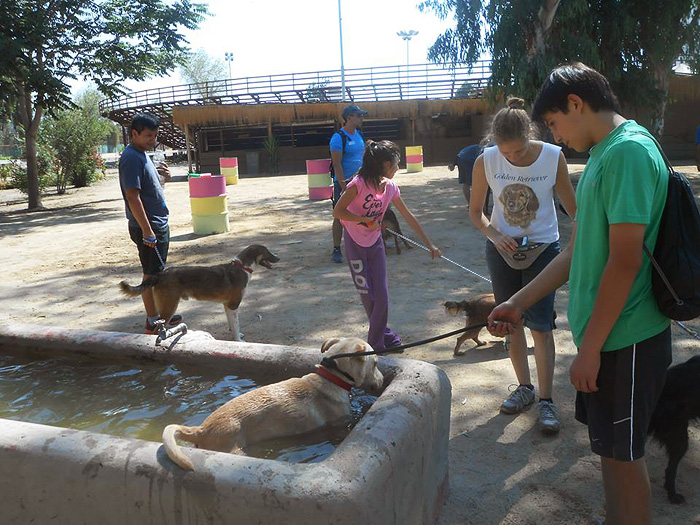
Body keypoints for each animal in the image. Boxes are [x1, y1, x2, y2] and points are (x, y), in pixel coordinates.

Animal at [118, 243, 278, 340]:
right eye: (267, 252)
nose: (279, 257)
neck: (242, 267)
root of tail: (160, 274)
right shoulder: (233, 305)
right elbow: (236, 325)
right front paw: (238, 341)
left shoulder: (227, 306)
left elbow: (232, 325)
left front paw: (234, 334)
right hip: (169, 307)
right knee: (157, 329)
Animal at [162, 338, 386, 468]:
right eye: (375, 363)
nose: (383, 381)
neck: (331, 377)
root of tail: (201, 429)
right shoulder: (340, 423)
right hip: (234, 448)